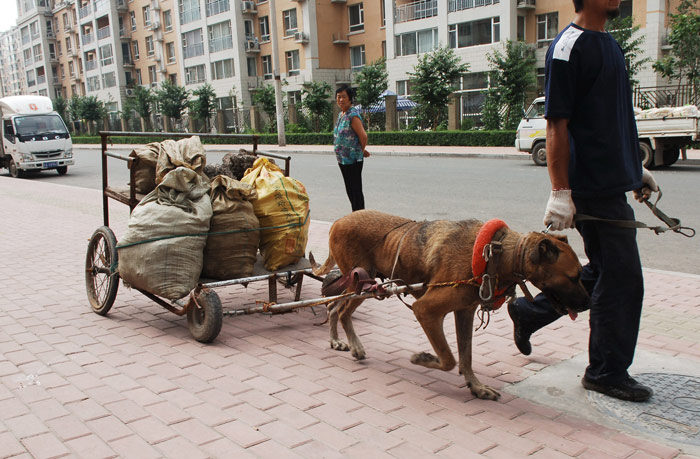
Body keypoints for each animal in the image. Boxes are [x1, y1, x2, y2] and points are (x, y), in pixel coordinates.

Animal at [314, 210, 592, 400]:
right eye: (574, 276)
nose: (589, 303)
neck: (497, 253)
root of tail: (338, 221)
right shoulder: (426, 310)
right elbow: (448, 359)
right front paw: (423, 358)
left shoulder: (465, 311)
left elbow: (465, 357)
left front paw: (476, 386)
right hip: (361, 283)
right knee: (340, 310)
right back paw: (350, 344)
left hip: (364, 284)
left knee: (335, 308)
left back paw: (341, 342)